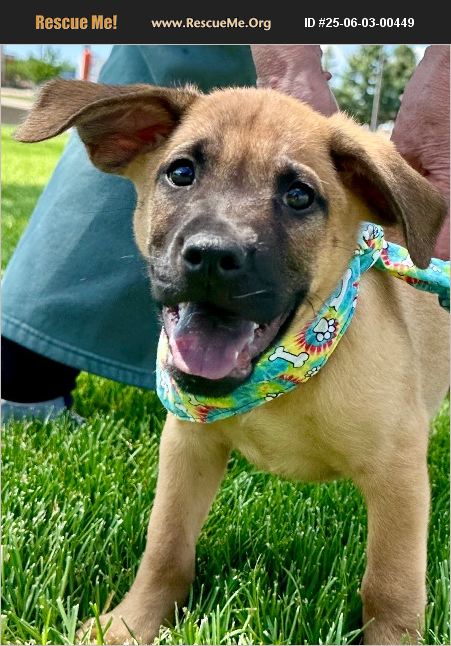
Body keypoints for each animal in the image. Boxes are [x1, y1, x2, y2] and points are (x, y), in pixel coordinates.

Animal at [16, 78, 449, 645]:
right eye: (181, 173)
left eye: (299, 196)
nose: (211, 256)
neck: (288, 368)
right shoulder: (187, 445)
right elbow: (165, 547)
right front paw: (132, 623)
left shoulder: (396, 473)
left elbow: (390, 586)